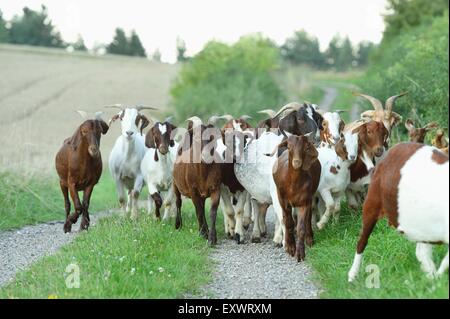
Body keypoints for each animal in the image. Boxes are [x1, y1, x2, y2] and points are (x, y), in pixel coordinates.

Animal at [350, 144, 448, 282]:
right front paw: (438, 280)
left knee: (421, 251)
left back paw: (430, 274)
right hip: (371, 204)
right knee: (362, 241)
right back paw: (352, 276)